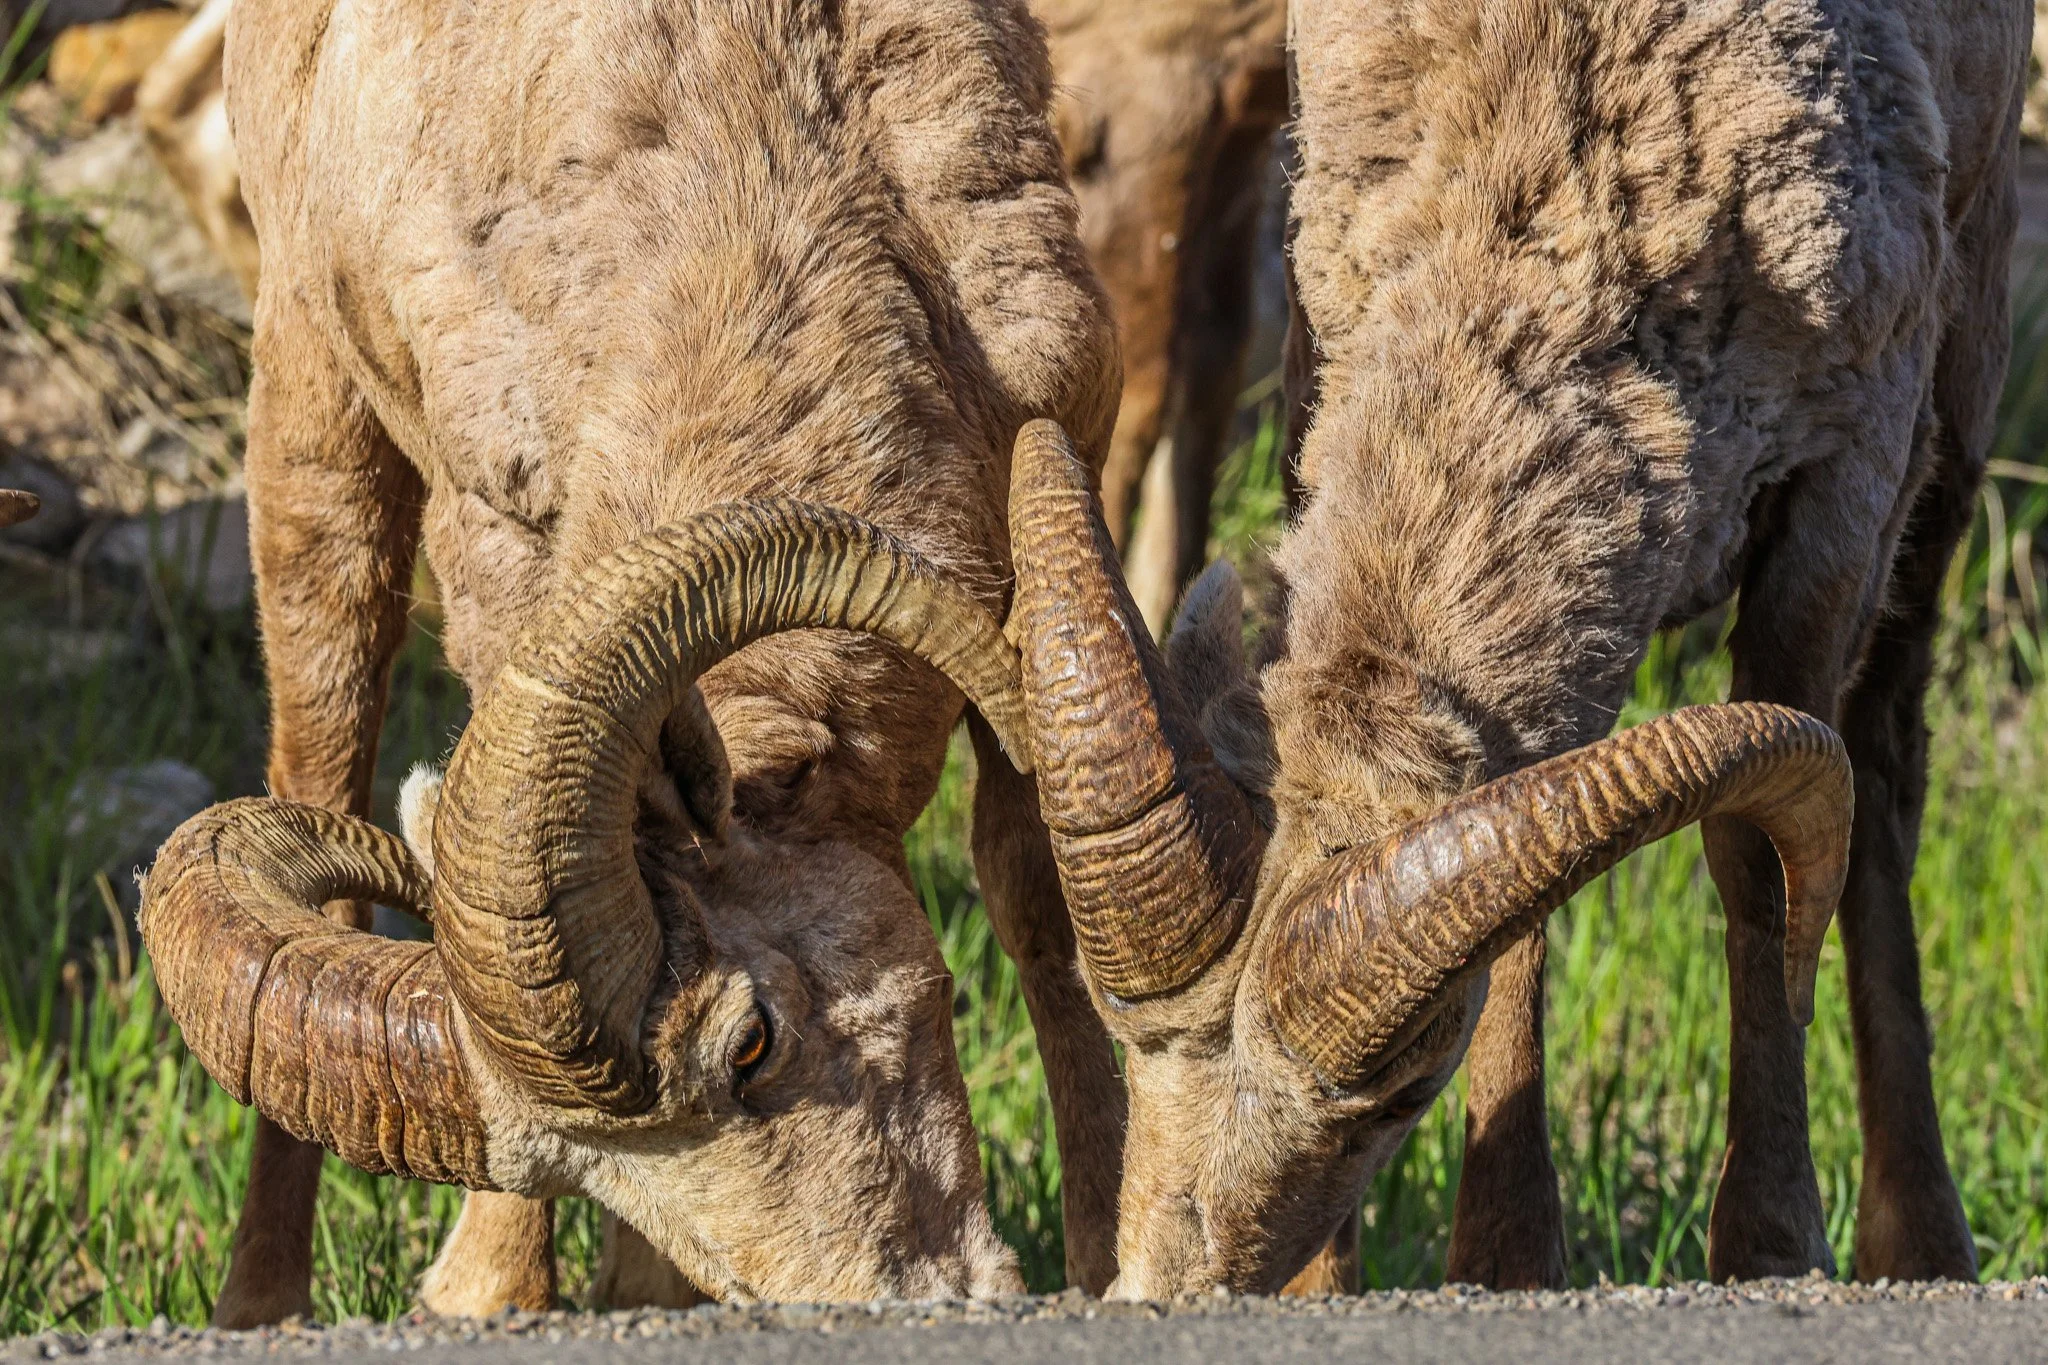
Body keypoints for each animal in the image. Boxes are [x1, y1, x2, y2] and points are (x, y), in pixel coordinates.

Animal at [136, 0, 1125, 1326]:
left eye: (752, 1042)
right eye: (599, 1176)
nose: (897, 1302)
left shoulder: (1061, 459)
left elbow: (1040, 898)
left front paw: (1116, 1258)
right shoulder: (498, 531)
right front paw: (499, 1294)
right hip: (313, 404)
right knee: (321, 766)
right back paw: (262, 1307)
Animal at [1001, 0, 2023, 1296]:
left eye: (1399, 1099)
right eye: (1121, 1034)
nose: (1168, 1290)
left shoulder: (1841, 487)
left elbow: (1759, 871)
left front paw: (1769, 1245)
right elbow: (1528, 931)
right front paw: (1490, 1261)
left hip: (1958, 380)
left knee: (1883, 780)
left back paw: (1922, 1243)